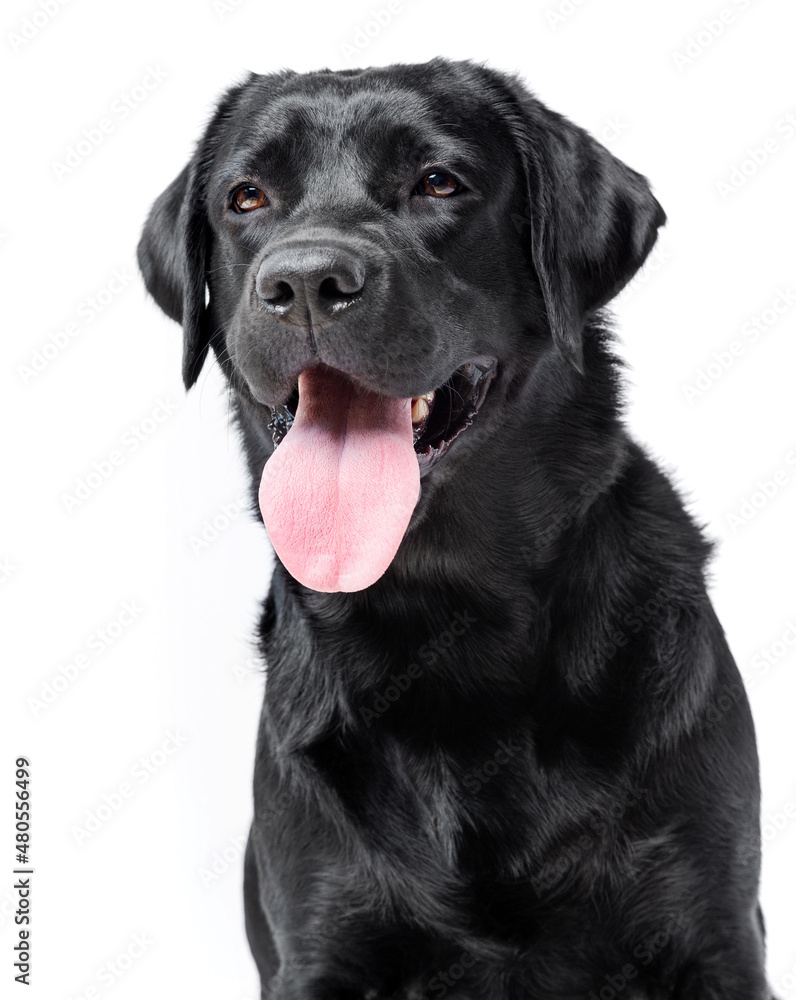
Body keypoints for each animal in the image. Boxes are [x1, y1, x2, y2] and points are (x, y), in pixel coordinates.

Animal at [138, 56, 772, 1000]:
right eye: (246, 197)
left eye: (439, 182)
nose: (305, 283)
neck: (450, 624)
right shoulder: (319, 941)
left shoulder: (712, 934)